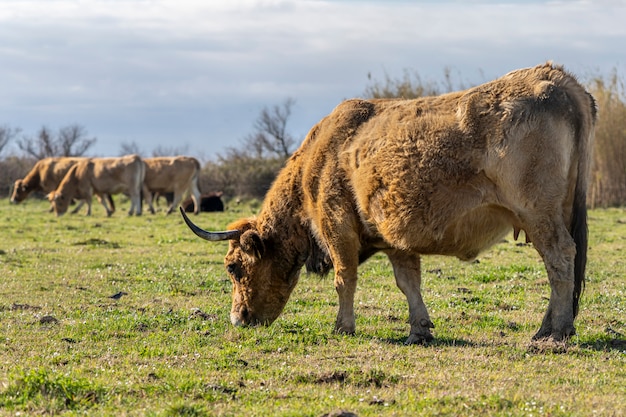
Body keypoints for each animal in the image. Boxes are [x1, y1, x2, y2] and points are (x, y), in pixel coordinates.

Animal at [180, 63, 596, 342]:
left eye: (233, 267)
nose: (238, 319)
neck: (320, 157)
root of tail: (555, 75)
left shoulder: (337, 227)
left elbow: (344, 278)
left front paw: (342, 326)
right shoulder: (396, 238)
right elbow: (407, 282)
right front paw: (419, 329)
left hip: (539, 215)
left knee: (560, 258)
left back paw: (555, 331)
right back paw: (548, 326)